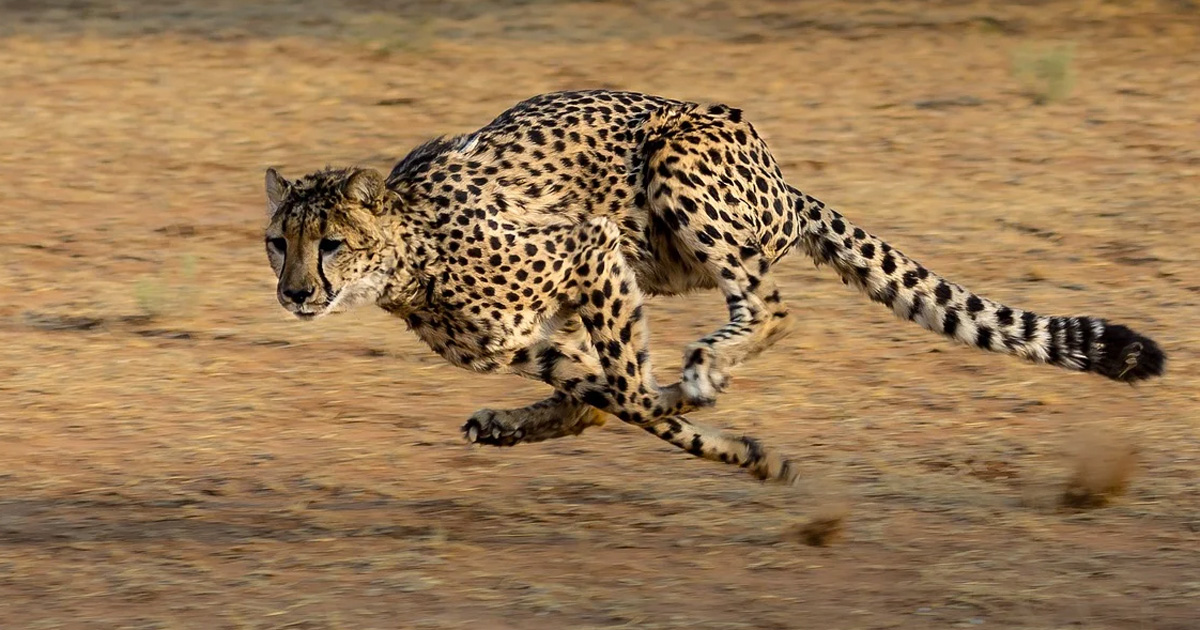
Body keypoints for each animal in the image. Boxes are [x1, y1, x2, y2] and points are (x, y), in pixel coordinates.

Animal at [260, 89, 1161, 482]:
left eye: (330, 243)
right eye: (278, 244)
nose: (295, 294)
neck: (408, 258)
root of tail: (780, 175)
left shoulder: (589, 247)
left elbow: (632, 394)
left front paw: (721, 429)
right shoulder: (530, 339)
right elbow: (611, 399)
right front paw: (740, 449)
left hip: (675, 171)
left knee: (770, 306)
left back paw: (704, 367)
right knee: (606, 392)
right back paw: (524, 422)